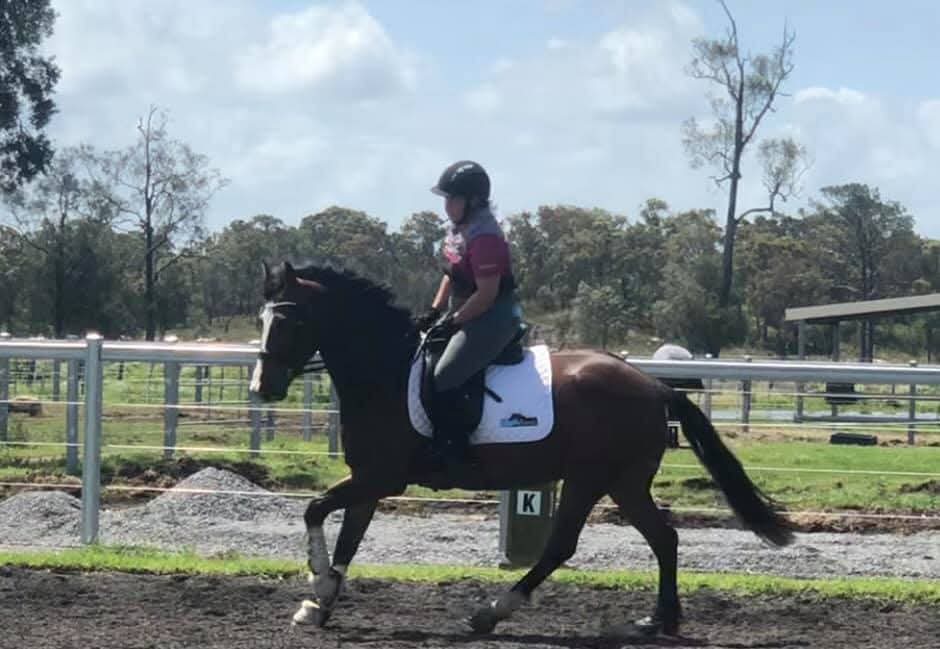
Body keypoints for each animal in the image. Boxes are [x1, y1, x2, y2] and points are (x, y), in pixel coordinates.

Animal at [250, 261, 793, 637]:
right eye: (261, 321)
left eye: (290, 322)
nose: (261, 386)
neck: (385, 371)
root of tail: (653, 384)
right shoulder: (368, 479)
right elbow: (347, 536)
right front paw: (320, 603)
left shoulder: (381, 477)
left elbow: (315, 509)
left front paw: (318, 587)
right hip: (624, 483)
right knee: (664, 539)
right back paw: (657, 621)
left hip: (591, 478)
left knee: (563, 545)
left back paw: (492, 612)